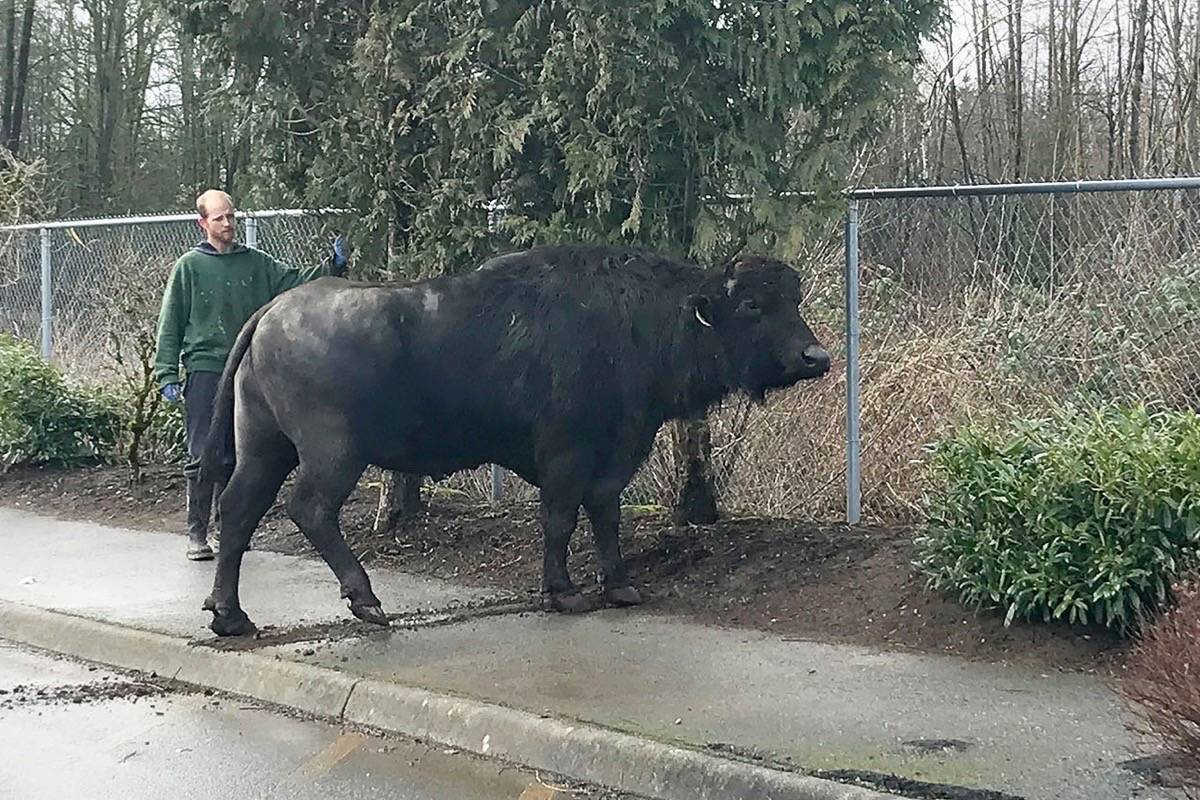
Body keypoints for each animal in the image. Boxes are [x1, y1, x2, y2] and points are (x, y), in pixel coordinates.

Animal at [201, 241, 830, 633]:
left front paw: (621, 586)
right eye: (752, 303)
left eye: (793, 299)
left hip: (265, 447)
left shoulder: (614, 454)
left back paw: (231, 616)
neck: (635, 319)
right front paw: (563, 591)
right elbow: (560, 519)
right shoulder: (567, 455)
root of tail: (271, 312)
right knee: (307, 510)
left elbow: (605, 514)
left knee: (238, 509)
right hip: (331, 455)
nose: (815, 356)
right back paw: (367, 601)